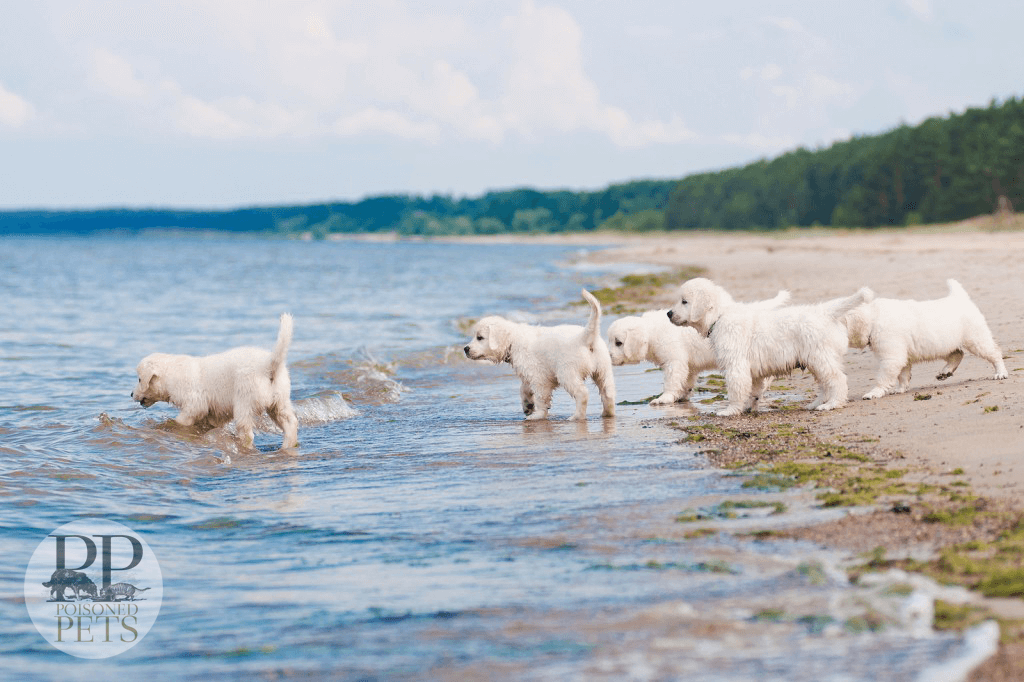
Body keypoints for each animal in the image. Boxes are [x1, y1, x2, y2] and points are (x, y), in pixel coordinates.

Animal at [130, 311, 299, 448]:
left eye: (139, 379)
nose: (131, 394)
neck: (171, 373)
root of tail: (268, 367)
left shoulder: (194, 403)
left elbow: (183, 419)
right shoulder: (214, 413)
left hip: (244, 402)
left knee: (247, 433)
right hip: (279, 402)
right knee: (291, 423)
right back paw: (288, 445)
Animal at [464, 288, 614, 419]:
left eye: (480, 337)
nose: (465, 349)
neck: (513, 340)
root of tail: (585, 337)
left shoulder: (539, 377)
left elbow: (541, 398)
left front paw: (537, 415)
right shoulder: (529, 374)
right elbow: (524, 389)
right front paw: (528, 406)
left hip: (567, 372)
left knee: (582, 394)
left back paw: (577, 416)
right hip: (603, 370)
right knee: (608, 393)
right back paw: (608, 413)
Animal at [606, 288, 790, 403]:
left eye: (618, 343)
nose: (608, 356)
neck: (652, 332)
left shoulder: (675, 362)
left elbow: (671, 381)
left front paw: (664, 398)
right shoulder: (689, 366)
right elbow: (686, 381)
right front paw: (681, 396)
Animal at [667, 276, 876, 413]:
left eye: (684, 301)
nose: (669, 313)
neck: (720, 316)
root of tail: (825, 312)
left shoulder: (736, 364)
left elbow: (736, 389)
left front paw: (730, 410)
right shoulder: (753, 370)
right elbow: (753, 390)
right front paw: (749, 406)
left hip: (820, 356)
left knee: (837, 380)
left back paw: (832, 404)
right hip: (817, 358)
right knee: (825, 383)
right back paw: (815, 404)